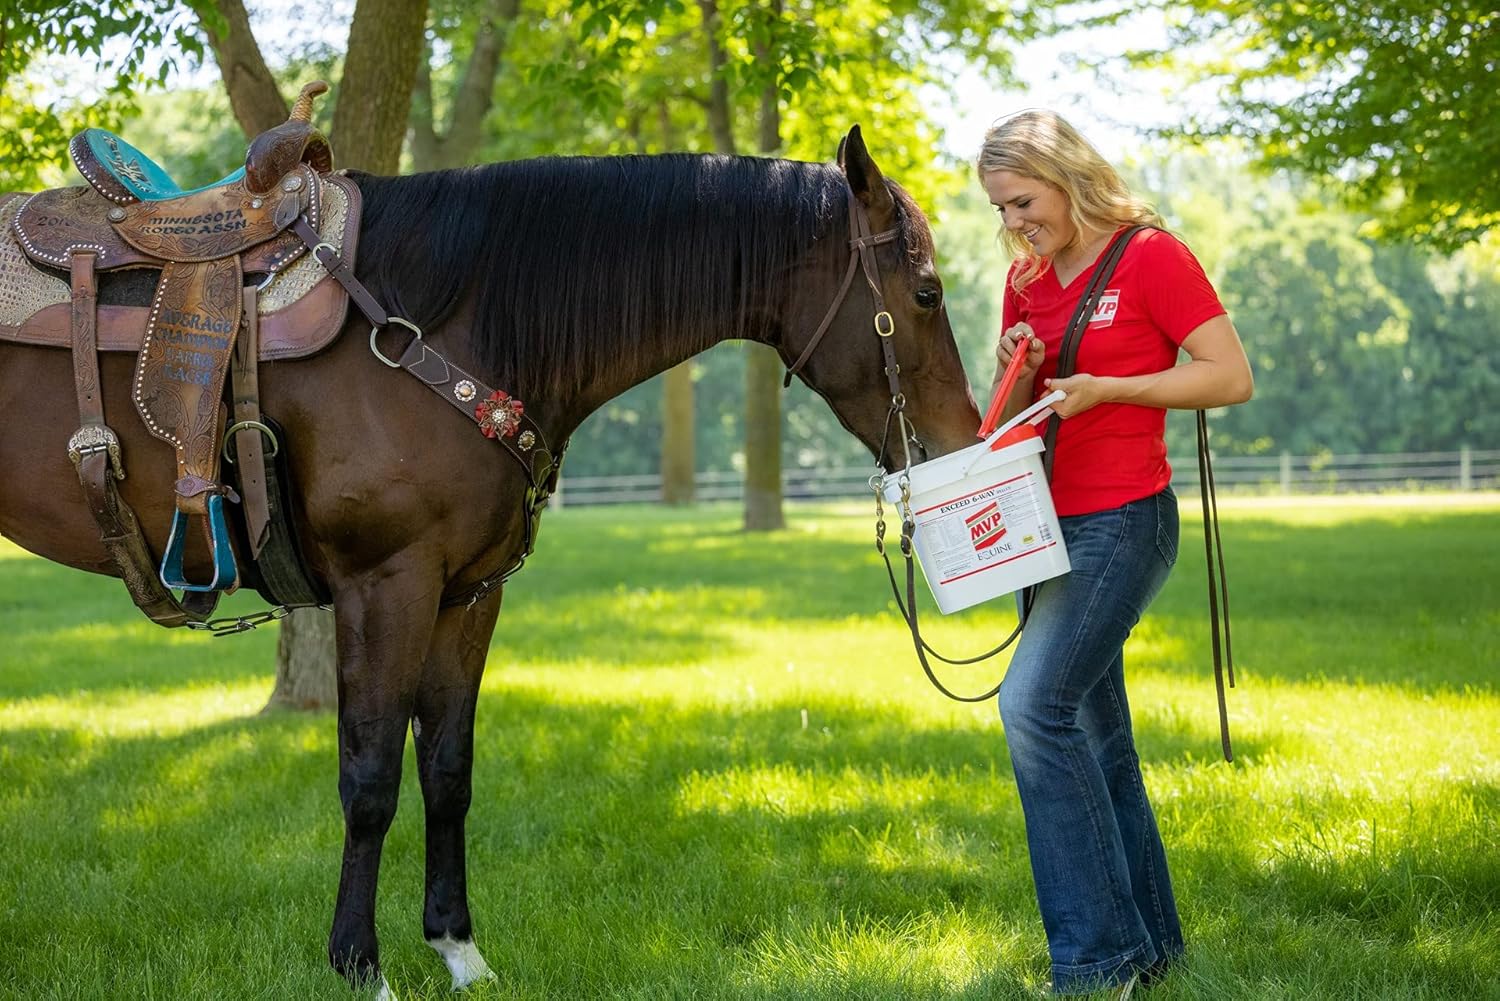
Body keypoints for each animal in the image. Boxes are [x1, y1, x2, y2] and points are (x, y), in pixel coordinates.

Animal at [0, 125, 980, 997]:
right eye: (928, 293)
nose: (957, 442)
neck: (445, 319)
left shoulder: (465, 596)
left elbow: (447, 769)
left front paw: (457, 949)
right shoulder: (384, 586)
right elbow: (370, 778)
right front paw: (360, 966)